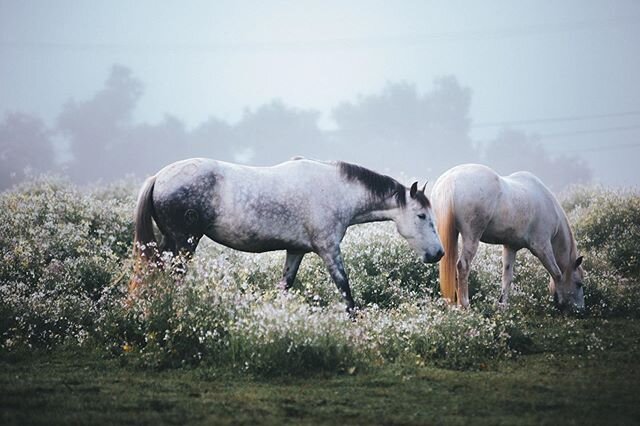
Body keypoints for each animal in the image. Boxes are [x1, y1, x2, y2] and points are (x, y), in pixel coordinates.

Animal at [127, 158, 442, 312]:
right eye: (421, 216)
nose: (439, 253)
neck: (338, 190)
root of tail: (158, 177)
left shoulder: (296, 251)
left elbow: (285, 286)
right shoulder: (329, 249)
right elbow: (345, 287)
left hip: (170, 243)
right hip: (185, 243)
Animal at [430, 163, 584, 310]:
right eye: (579, 284)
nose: (581, 310)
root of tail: (450, 181)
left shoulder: (510, 247)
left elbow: (507, 277)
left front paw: (502, 306)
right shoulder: (542, 247)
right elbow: (557, 273)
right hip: (471, 237)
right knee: (463, 266)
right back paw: (464, 305)